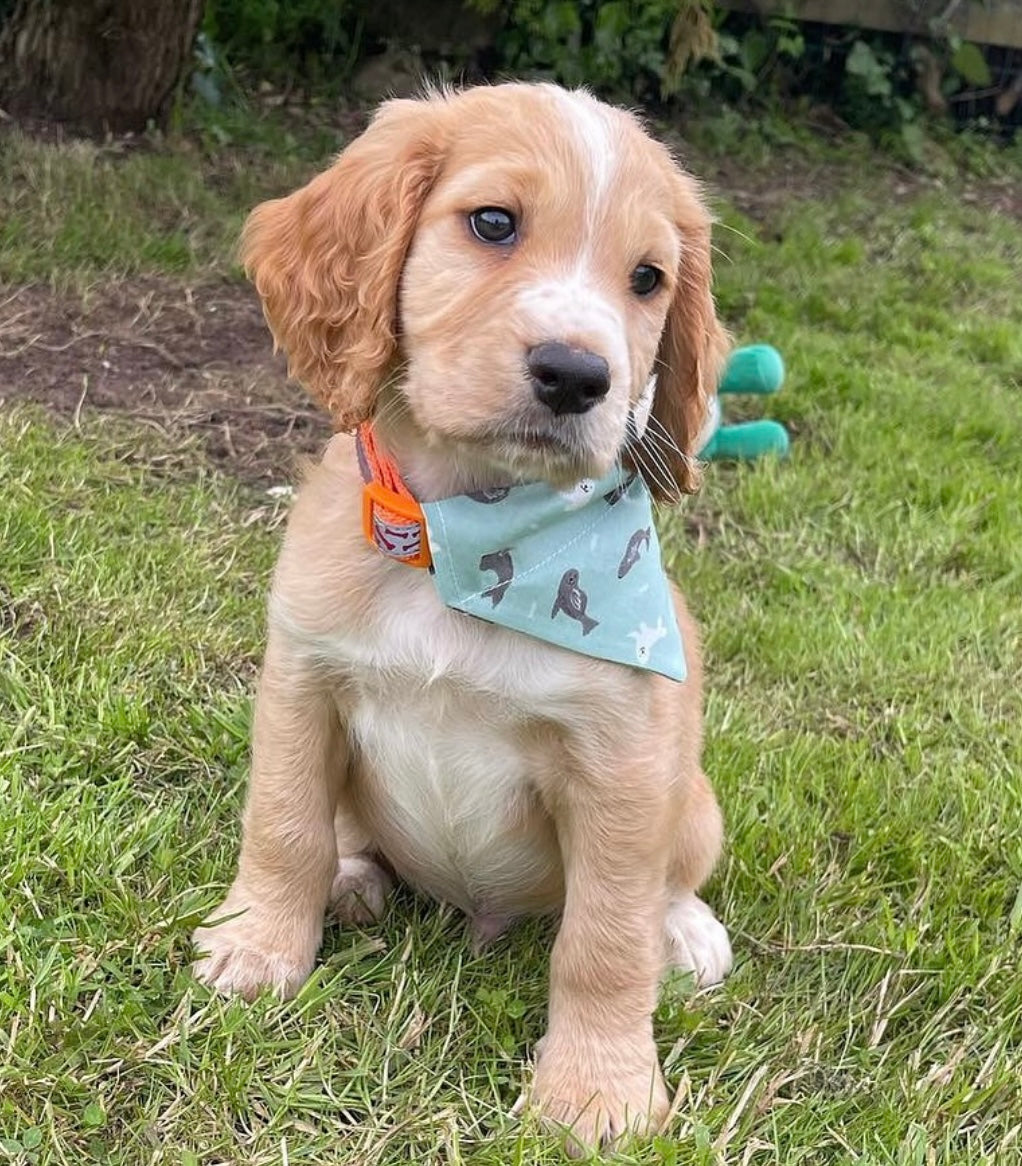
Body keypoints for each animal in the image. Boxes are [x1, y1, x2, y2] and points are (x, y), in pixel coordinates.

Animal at [193, 84, 731, 1156]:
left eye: (648, 279)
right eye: (492, 223)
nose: (577, 374)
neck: (463, 539)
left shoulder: (622, 764)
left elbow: (605, 940)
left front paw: (596, 1093)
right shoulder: (302, 680)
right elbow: (283, 823)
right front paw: (259, 946)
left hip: (691, 798)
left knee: (668, 884)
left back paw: (685, 934)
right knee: (338, 829)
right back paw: (351, 878)